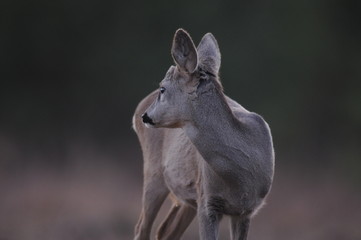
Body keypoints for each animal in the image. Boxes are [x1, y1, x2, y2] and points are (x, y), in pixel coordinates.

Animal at [132, 29, 272, 240]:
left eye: (163, 89)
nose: (145, 116)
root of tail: (138, 107)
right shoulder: (208, 202)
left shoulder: (246, 211)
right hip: (154, 172)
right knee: (142, 228)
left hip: (188, 198)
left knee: (164, 232)